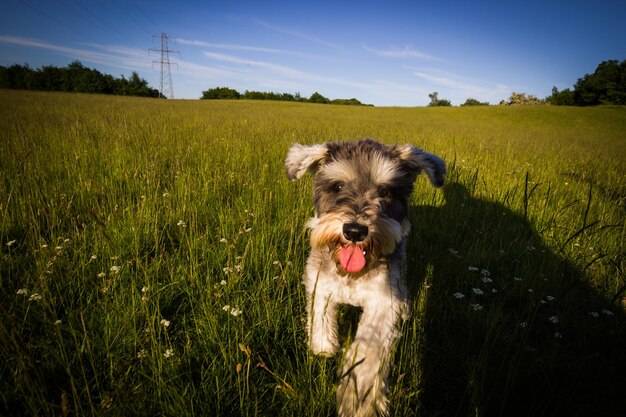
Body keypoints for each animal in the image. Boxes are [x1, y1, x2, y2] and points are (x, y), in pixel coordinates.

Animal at [282, 140, 444, 416]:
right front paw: (323, 346)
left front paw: (359, 399)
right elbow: (320, 316)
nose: (355, 231)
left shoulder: (384, 301)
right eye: (337, 186)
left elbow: (368, 349)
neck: (352, 275)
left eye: (386, 191)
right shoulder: (320, 284)